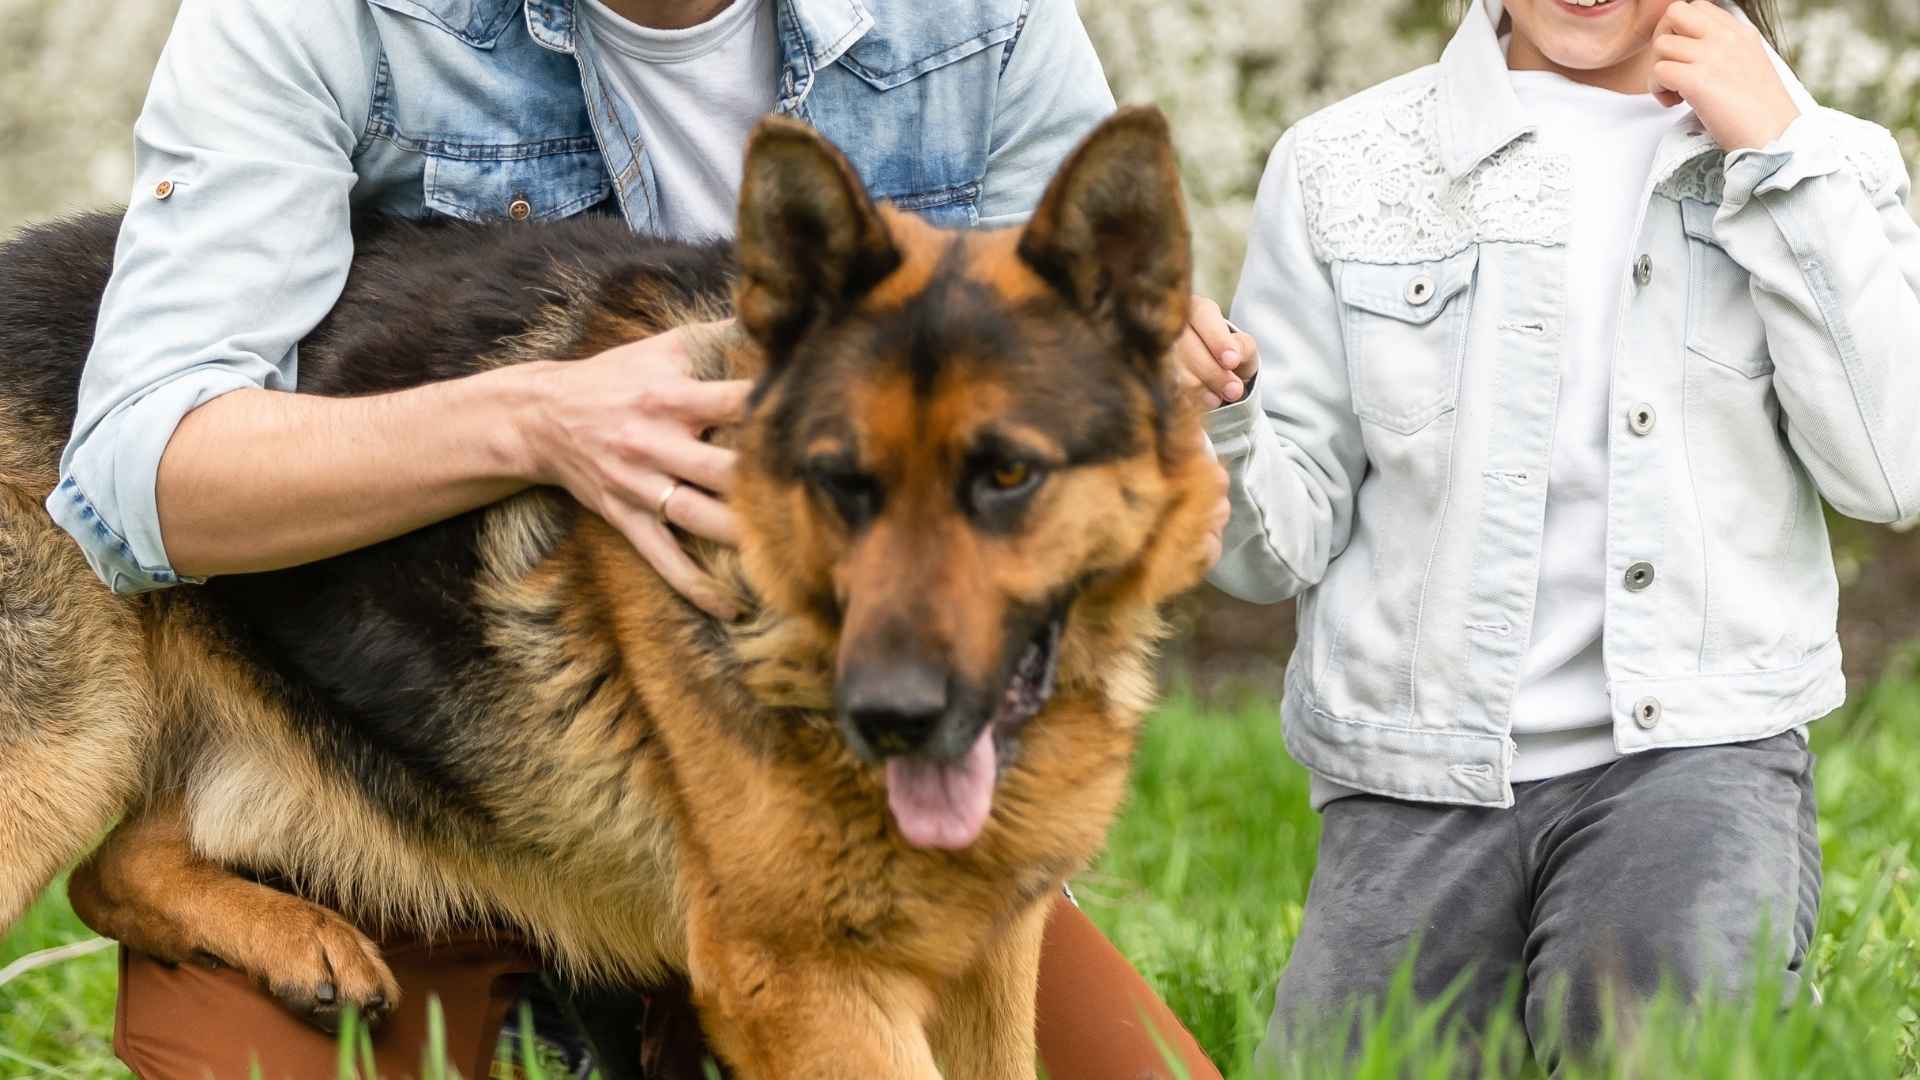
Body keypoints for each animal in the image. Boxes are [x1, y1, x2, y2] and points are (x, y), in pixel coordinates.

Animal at [0, 107, 1221, 1068]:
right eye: (838, 480)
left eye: (1009, 475)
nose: (894, 715)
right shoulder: (805, 984)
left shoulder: (986, 957)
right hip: (58, 756)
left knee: (116, 869)